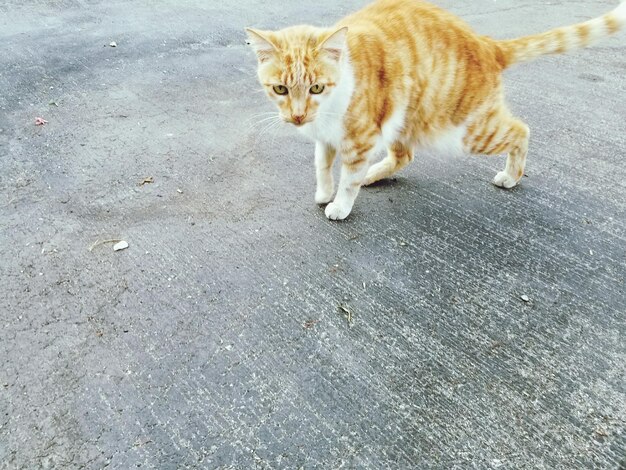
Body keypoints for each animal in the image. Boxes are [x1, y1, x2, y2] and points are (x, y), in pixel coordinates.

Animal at [246, 0, 620, 220]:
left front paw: (339, 204)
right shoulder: (326, 137)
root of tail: (487, 44)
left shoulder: (360, 139)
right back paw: (374, 174)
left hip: (464, 131)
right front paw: (325, 191)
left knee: (520, 130)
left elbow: (348, 178)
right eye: (280, 89)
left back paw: (511, 177)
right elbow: (322, 165)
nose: (297, 116)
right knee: (404, 156)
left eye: (316, 88)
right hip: (406, 119)